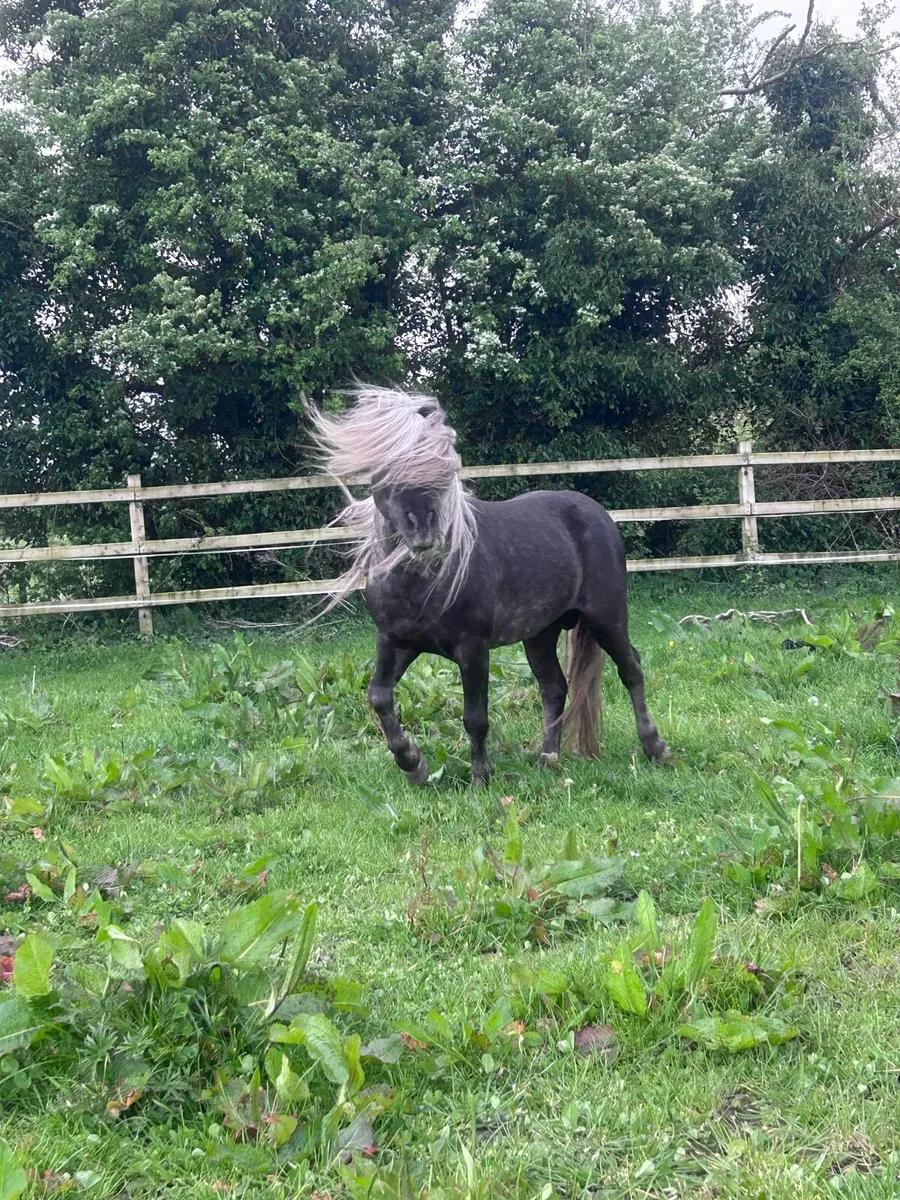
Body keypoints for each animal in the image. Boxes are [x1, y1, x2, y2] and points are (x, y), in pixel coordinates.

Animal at [310, 386, 669, 785]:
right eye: (386, 465)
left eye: (441, 463)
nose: (423, 528)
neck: (422, 581)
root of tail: (597, 512)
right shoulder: (395, 641)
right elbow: (378, 697)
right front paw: (413, 764)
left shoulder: (473, 648)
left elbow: (475, 718)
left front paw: (480, 777)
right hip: (540, 633)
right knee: (554, 687)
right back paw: (549, 757)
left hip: (606, 618)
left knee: (631, 669)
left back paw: (655, 748)